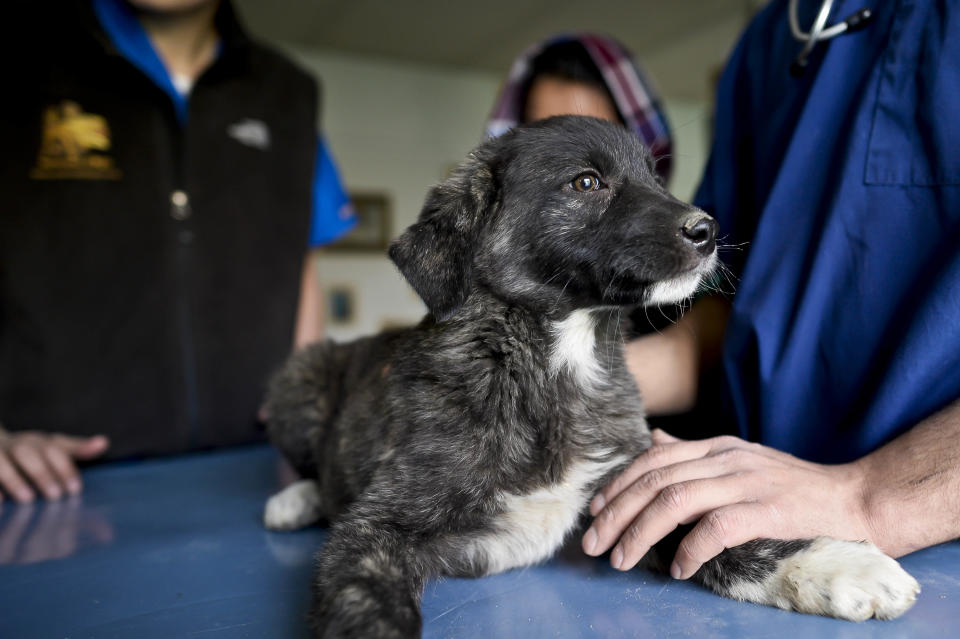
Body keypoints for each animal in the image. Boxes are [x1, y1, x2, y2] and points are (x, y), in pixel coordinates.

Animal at [260, 117, 916, 636]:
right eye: (586, 183)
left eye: (656, 178)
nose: (707, 231)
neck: (556, 366)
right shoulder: (375, 531)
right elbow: (364, 600)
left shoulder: (632, 494)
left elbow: (717, 531)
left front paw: (834, 565)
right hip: (298, 375)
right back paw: (293, 498)